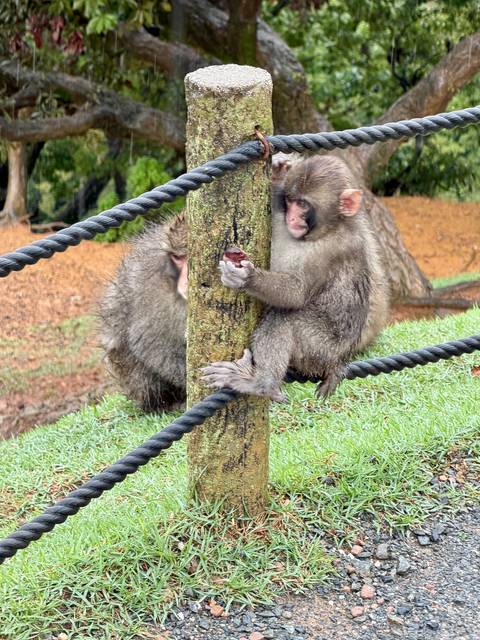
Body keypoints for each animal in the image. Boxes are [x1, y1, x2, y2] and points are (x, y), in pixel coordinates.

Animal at [201, 155, 390, 402]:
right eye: (290, 201)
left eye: (303, 204)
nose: (292, 217)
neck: (326, 231)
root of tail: (339, 360)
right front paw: (278, 169)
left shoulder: (331, 251)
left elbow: (296, 295)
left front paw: (247, 278)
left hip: (319, 349)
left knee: (285, 318)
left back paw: (263, 383)